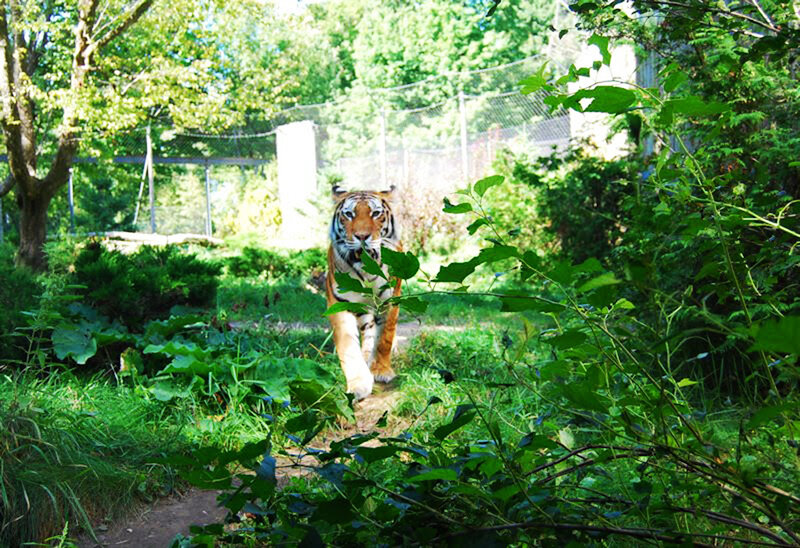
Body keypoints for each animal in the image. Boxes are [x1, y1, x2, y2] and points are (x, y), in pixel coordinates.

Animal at [326, 184, 402, 400]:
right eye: (349, 214)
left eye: (375, 213)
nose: (361, 236)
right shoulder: (339, 304)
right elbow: (349, 348)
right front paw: (358, 384)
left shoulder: (391, 301)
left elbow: (385, 338)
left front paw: (381, 371)